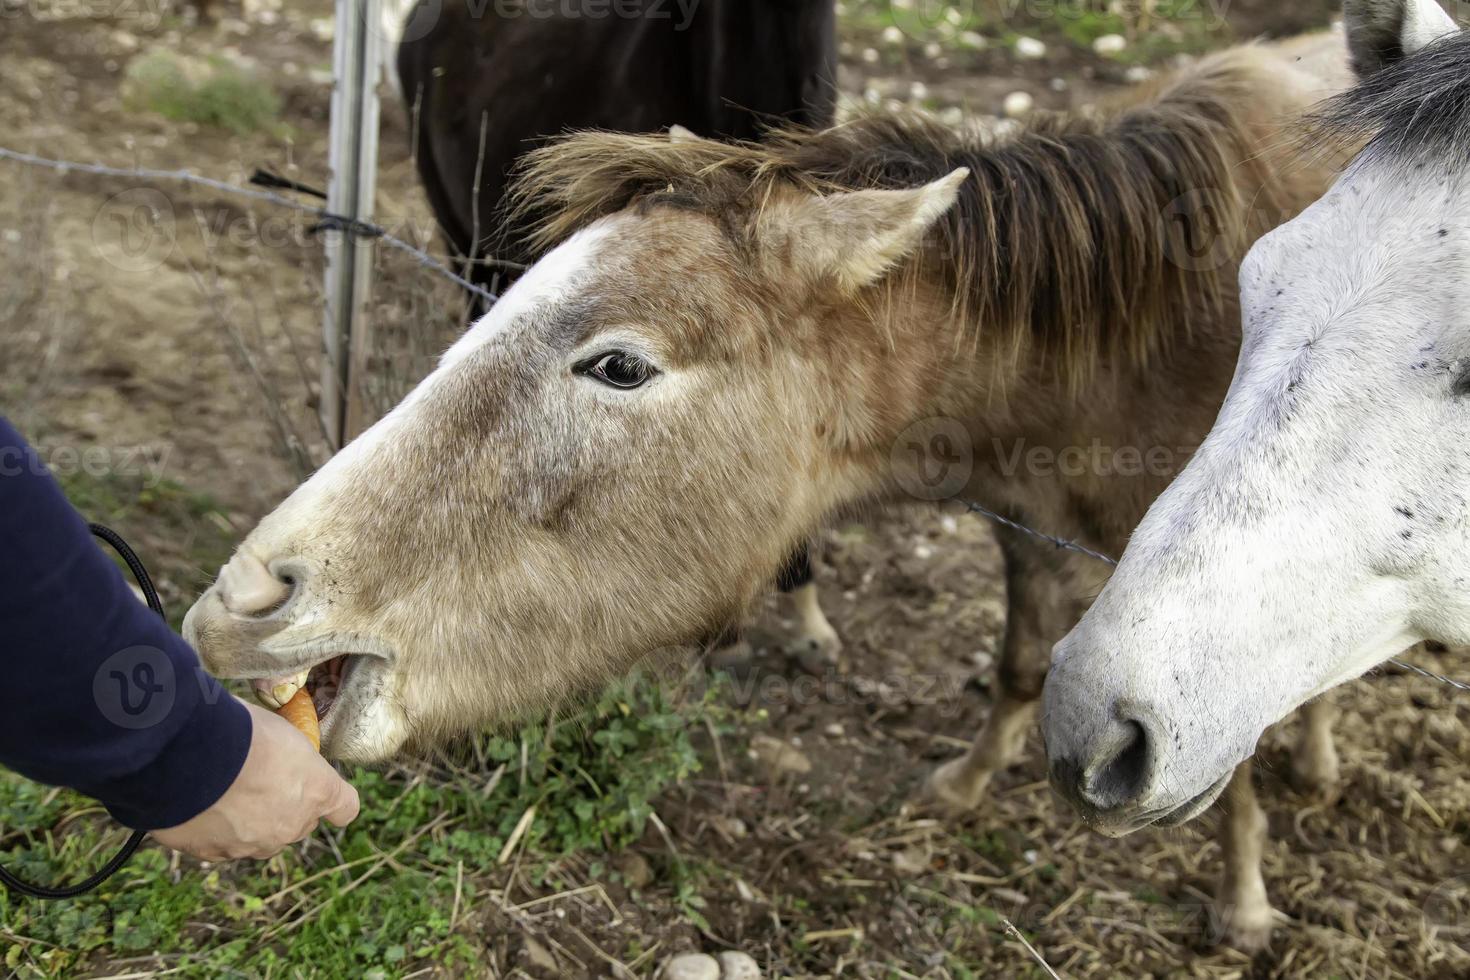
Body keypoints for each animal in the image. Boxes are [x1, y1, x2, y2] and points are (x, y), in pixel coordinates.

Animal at [186, 36, 1352, 952]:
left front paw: (1244, 901)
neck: (1143, 335)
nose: (245, 600)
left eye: (619, 366)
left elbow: (1230, 753)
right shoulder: (1029, 531)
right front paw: (966, 784)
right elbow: (1020, 662)